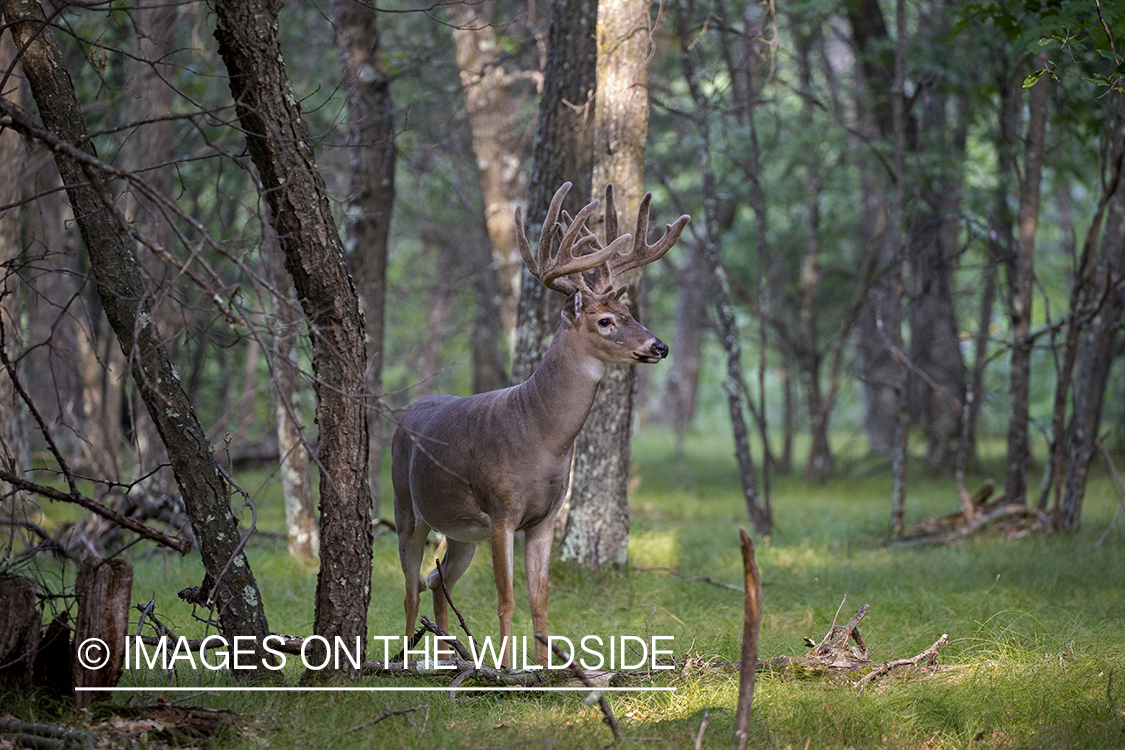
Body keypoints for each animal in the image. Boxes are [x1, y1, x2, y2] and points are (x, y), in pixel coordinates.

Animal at [391, 182, 688, 670]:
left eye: (631, 313)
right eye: (605, 320)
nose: (659, 346)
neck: (538, 434)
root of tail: (407, 414)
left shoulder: (545, 518)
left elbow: (539, 600)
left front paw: (546, 671)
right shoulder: (500, 511)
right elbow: (506, 600)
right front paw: (506, 670)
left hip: (460, 531)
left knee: (438, 581)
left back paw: (449, 657)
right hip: (405, 507)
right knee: (410, 587)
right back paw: (406, 661)